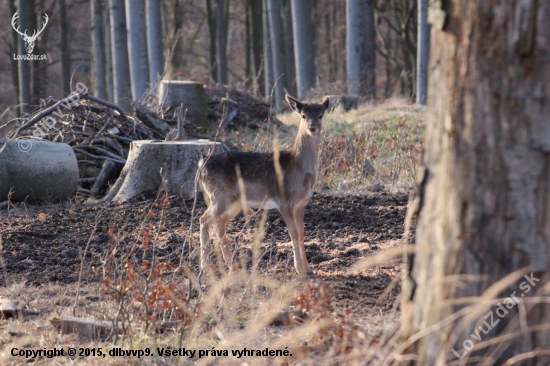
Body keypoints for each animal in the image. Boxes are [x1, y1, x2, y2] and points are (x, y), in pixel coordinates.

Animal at [197, 93, 330, 276]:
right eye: (303, 115)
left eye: (321, 115)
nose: (312, 127)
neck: (299, 169)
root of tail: (202, 164)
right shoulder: (284, 201)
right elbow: (293, 232)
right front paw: (300, 271)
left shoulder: (301, 203)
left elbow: (302, 232)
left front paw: (309, 270)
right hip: (219, 196)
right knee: (204, 219)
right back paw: (206, 268)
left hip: (233, 202)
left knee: (218, 224)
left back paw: (233, 266)